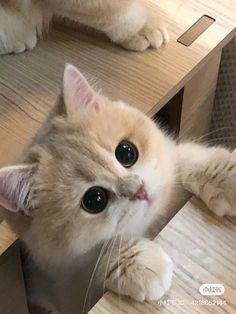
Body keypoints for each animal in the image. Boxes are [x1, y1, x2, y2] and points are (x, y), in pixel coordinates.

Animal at [0, 64, 236, 314]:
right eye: (94, 200)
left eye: (126, 152)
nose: (140, 191)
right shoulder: (68, 280)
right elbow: (101, 257)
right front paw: (141, 262)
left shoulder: (171, 161)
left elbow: (188, 159)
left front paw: (227, 176)